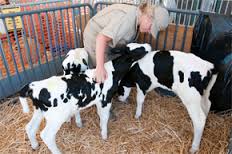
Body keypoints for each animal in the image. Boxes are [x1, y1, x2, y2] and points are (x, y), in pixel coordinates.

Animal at [17, 42, 149, 153]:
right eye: (138, 49)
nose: (148, 45)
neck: (113, 72)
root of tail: (34, 86)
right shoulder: (105, 100)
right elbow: (105, 118)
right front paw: (104, 135)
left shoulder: (99, 101)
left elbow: (100, 116)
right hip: (56, 117)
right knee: (46, 135)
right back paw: (57, 151)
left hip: (39, 111)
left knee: (30, 127)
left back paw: (35, 146)